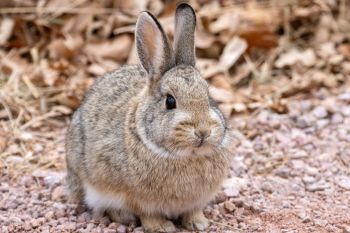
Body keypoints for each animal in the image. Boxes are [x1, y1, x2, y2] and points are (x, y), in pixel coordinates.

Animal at [66, 3, 232, 233]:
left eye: (209, 97)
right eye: (170, 101)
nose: (203, 131)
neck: (184, 156)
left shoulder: (197, 200)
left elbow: (193, 210)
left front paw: (198, 223)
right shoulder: (137, 198)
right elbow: (147, 215)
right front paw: (162, 227)